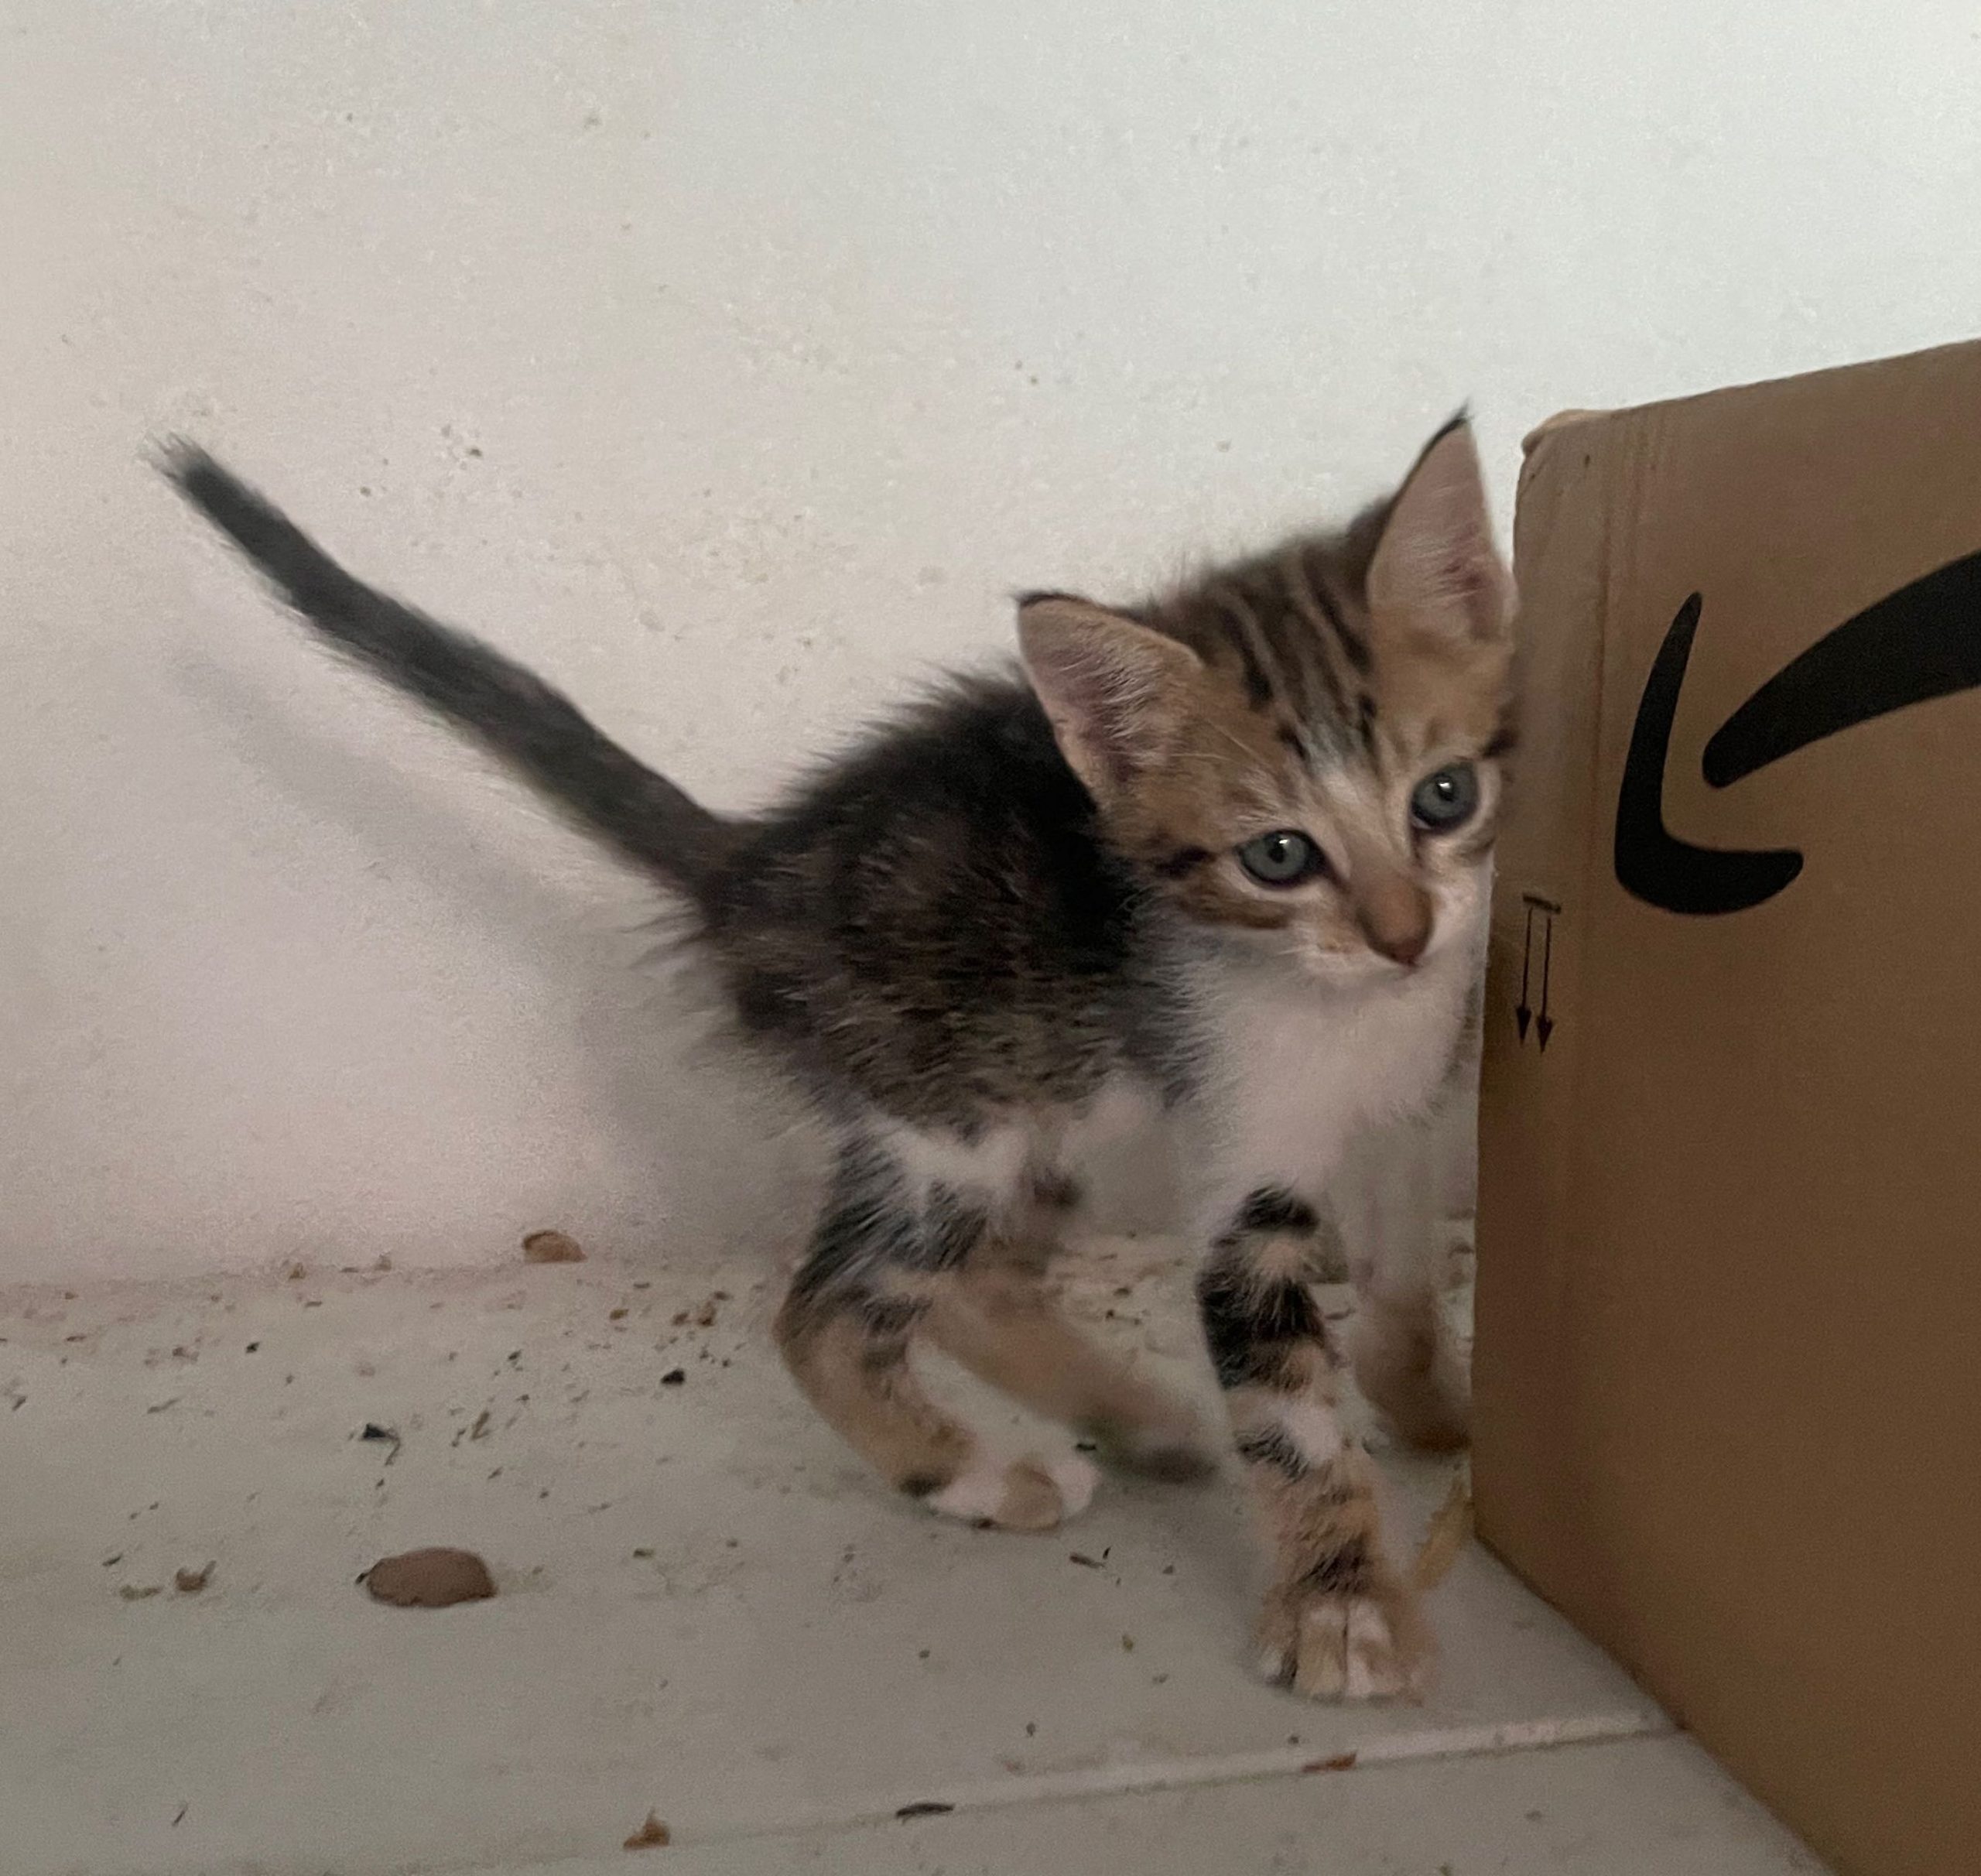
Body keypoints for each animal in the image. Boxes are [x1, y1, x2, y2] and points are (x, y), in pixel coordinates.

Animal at [165, 416, 1514, 1701]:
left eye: (1443, 797)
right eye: (1278, 857)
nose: (1405, 937)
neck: (1348, 1012)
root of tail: (750, 876)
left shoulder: (1412, 1110)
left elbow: (1401, 1276)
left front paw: (1440, 1411)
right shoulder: (1244, 1162)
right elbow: (1288, 1410)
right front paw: (1343, 1606)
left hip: (1041, 1096)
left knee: (980, 1283)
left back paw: (1137, 1423)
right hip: (946, 1123)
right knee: (822, 1317)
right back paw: (983, 1476)